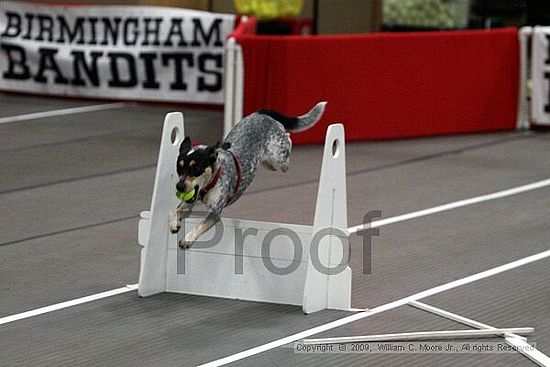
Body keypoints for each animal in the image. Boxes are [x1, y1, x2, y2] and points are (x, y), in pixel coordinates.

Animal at [170, 102, 328, 249]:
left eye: (196, 168)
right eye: (179, 167)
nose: (180, 186)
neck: (212, 181)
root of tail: (261, 113)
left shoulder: (215, 212)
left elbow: (201, 224)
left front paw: (187, 239)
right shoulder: (189, 202)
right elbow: (176, 211)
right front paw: (174, 224)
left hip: (279, 155)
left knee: (287, 142)